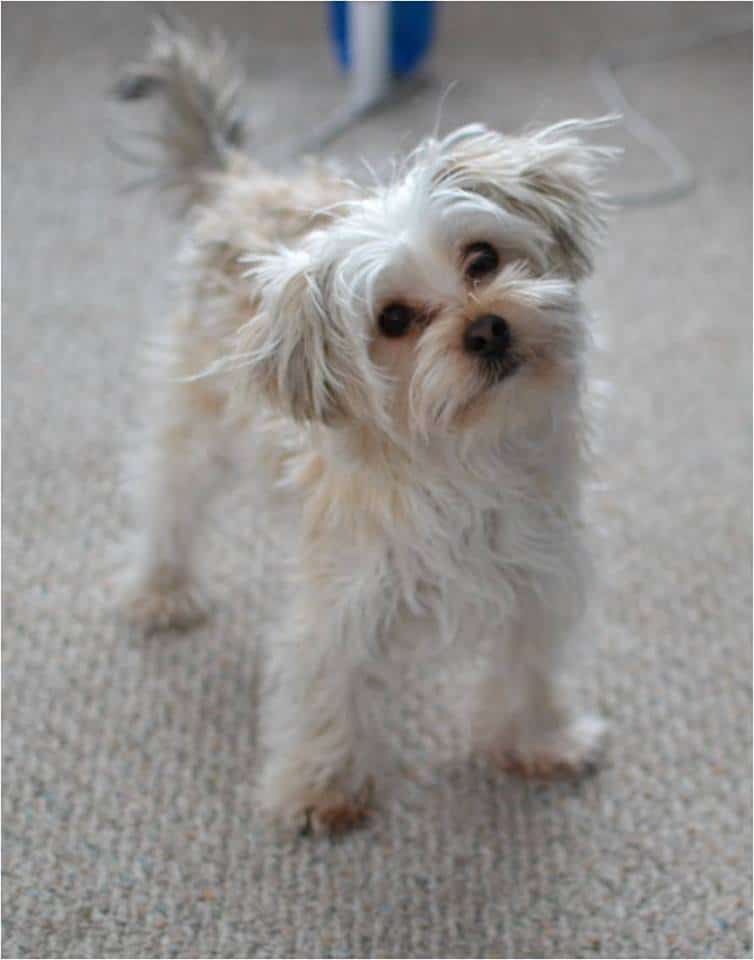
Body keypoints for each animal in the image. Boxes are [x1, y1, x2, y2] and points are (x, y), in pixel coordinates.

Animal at [116, 20, 612, 832]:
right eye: (394, 320)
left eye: (482, 258)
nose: (487, 328)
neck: (468, 461)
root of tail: (242, 182)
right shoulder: (343, 597)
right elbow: (329, 685)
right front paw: (323, 787)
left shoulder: (535, 574)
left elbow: (527, 667)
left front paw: (537, 739)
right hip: (195, 425)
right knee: (167, 499)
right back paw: (160, 589)